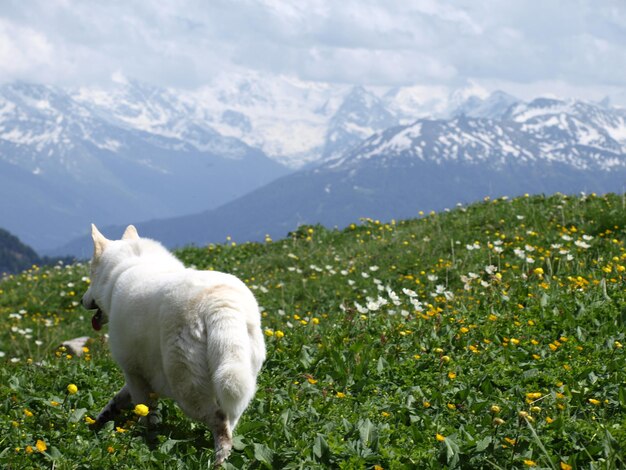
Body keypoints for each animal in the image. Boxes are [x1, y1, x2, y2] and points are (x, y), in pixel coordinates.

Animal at [81, 225, 264, 466]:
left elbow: (145, 413)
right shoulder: (141, 374)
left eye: (91, 276)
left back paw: (218, 460)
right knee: (230, 419)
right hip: (238, 377)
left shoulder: (134, 374)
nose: (82, 301)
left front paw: (145, 441)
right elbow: (119, 398)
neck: (129, 264)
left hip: (186, 387)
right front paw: (102, 418)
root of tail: (218, 301)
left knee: (219, 421)